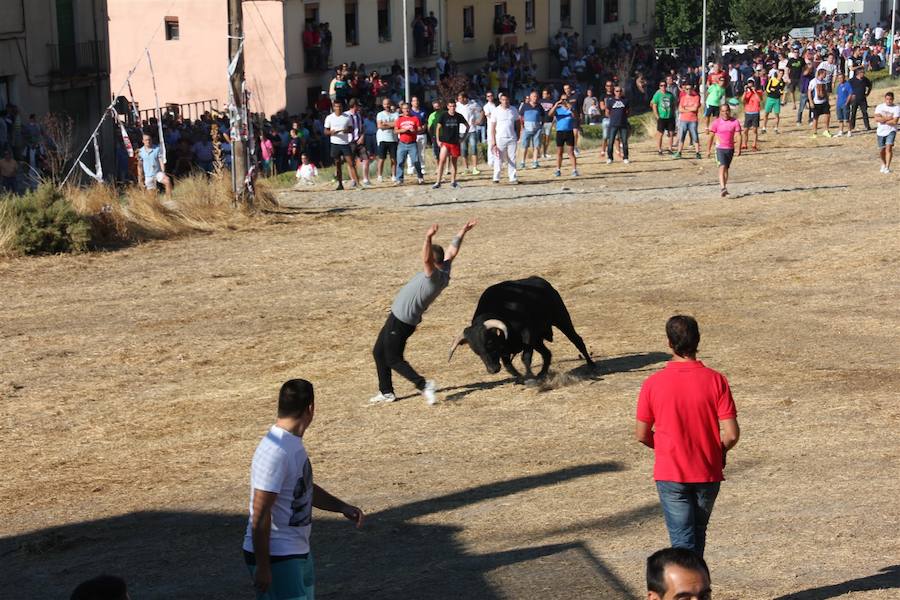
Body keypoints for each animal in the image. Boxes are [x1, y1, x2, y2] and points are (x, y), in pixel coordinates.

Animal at [446, 276, 596, 380]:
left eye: (490, 343)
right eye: (475, 350)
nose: (492, 370)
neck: (504, 310)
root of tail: (542, 281)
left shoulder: (527, 335)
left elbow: (525, 358)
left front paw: (529, 377)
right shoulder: (507, 349)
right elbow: (508, 365)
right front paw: (520, 377)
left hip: (562, 320)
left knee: (577, 340)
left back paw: (591, 364)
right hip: (538, 340)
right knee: (547, 353)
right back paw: (542, 373)